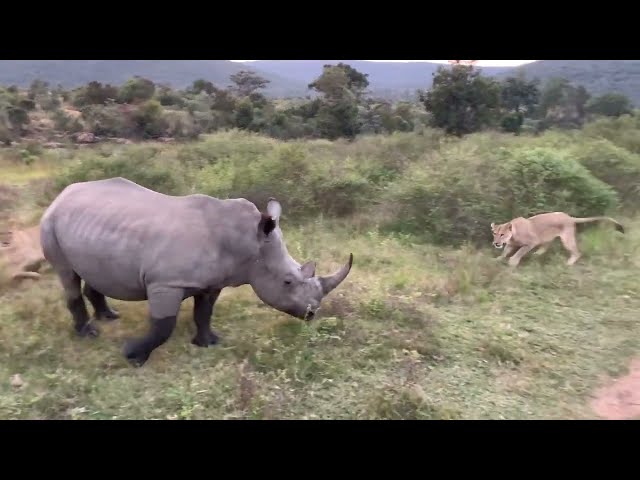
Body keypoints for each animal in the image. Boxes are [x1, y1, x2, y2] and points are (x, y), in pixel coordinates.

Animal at [40, 177, 353, 366]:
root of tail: (62, 194)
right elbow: (163, 325)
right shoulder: (165, 283)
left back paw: (109, 317)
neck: (247, 242)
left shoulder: (213, 282)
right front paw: (132, 356)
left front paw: (209, 343)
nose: (312, 313)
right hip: (50, 222)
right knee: (67, 275)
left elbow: (204, 312)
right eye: (287, 281)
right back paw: (88, 333)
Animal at [490, 212, 625, 267]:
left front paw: (513, 262)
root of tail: (570, 217)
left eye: (502, 234)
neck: (513, 234)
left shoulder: (531, 242)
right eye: (494, 233)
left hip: (567, 239)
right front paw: (498, 259)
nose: (496, 243)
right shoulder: (510, 244)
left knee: (577, 252)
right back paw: (537, 254)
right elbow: (505, 252)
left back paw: (568, 263)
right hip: (548, 237)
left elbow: (519, 252)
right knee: (546, 246)